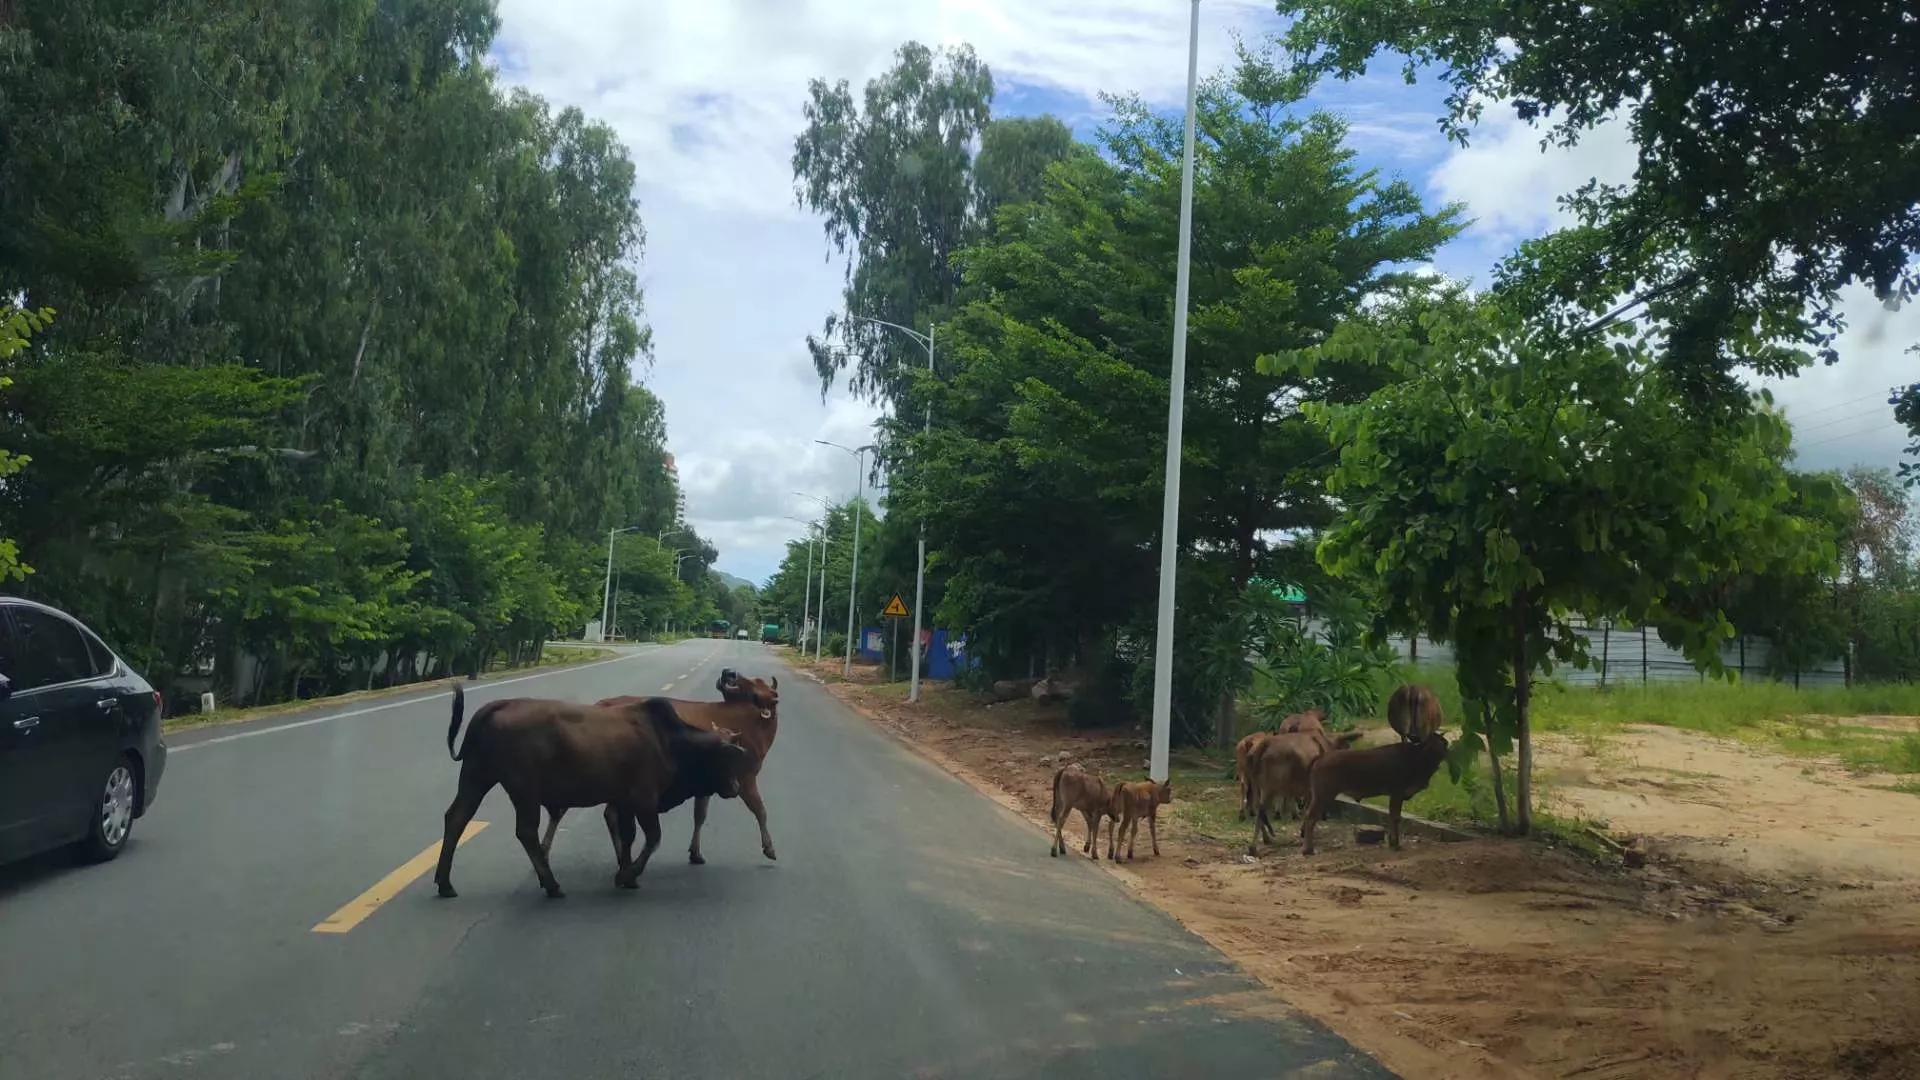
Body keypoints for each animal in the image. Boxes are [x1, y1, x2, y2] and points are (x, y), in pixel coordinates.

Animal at [433, 680, 748, 899]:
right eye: (728, 759)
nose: (734, 787)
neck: (669, 741)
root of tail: (499, 705)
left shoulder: (624, 802)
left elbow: (628, 837)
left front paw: (626, 873)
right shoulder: (644, 798)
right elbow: (653, 838)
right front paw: (628, 874)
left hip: (476, 777)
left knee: (457, 817)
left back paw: (445, 883)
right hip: (524, 790)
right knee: (526, 832)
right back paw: (552, 884)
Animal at [541, 668, 779, 860]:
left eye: (757, 682)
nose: (728, 672)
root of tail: (600, 704)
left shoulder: (708, 784)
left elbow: (700, 815)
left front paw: (695, 853)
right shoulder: (745, 776)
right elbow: (760, 810)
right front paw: (769, 848)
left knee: (601, 812)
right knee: (578, 809)